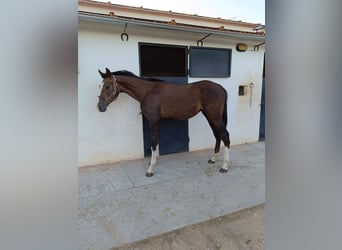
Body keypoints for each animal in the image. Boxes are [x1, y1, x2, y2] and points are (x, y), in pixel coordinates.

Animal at [97, 67, 230, 177]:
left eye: (107, 86)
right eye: (100, 86)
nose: (100, 107)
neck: (148, 91)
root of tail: (220, 87)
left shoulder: (153, 120)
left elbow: (153, 142)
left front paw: (150, 169)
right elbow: (156, 142)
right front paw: (153, 162)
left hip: (214, 116)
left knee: (225, 135)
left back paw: (224, 167)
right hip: (209, 116)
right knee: (217, 135)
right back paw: (213, 159)